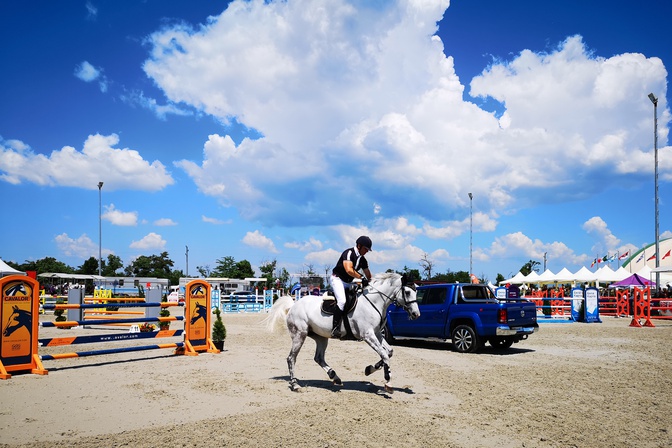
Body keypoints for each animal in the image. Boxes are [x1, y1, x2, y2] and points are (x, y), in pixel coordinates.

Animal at [264, 270, 418, 392]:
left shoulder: (377, 334)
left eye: (416, 291)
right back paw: (295, 384)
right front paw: (388, 382)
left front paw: (369, 369)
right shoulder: (368, 336)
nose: (416, 314)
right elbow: (385, 355)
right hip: (299, 335)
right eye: (407, 292)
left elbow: (389, 352)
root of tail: (293, 305)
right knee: (291, 358)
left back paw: (334, 376)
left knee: (318, 358)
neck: (374, 302)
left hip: (321, 337)